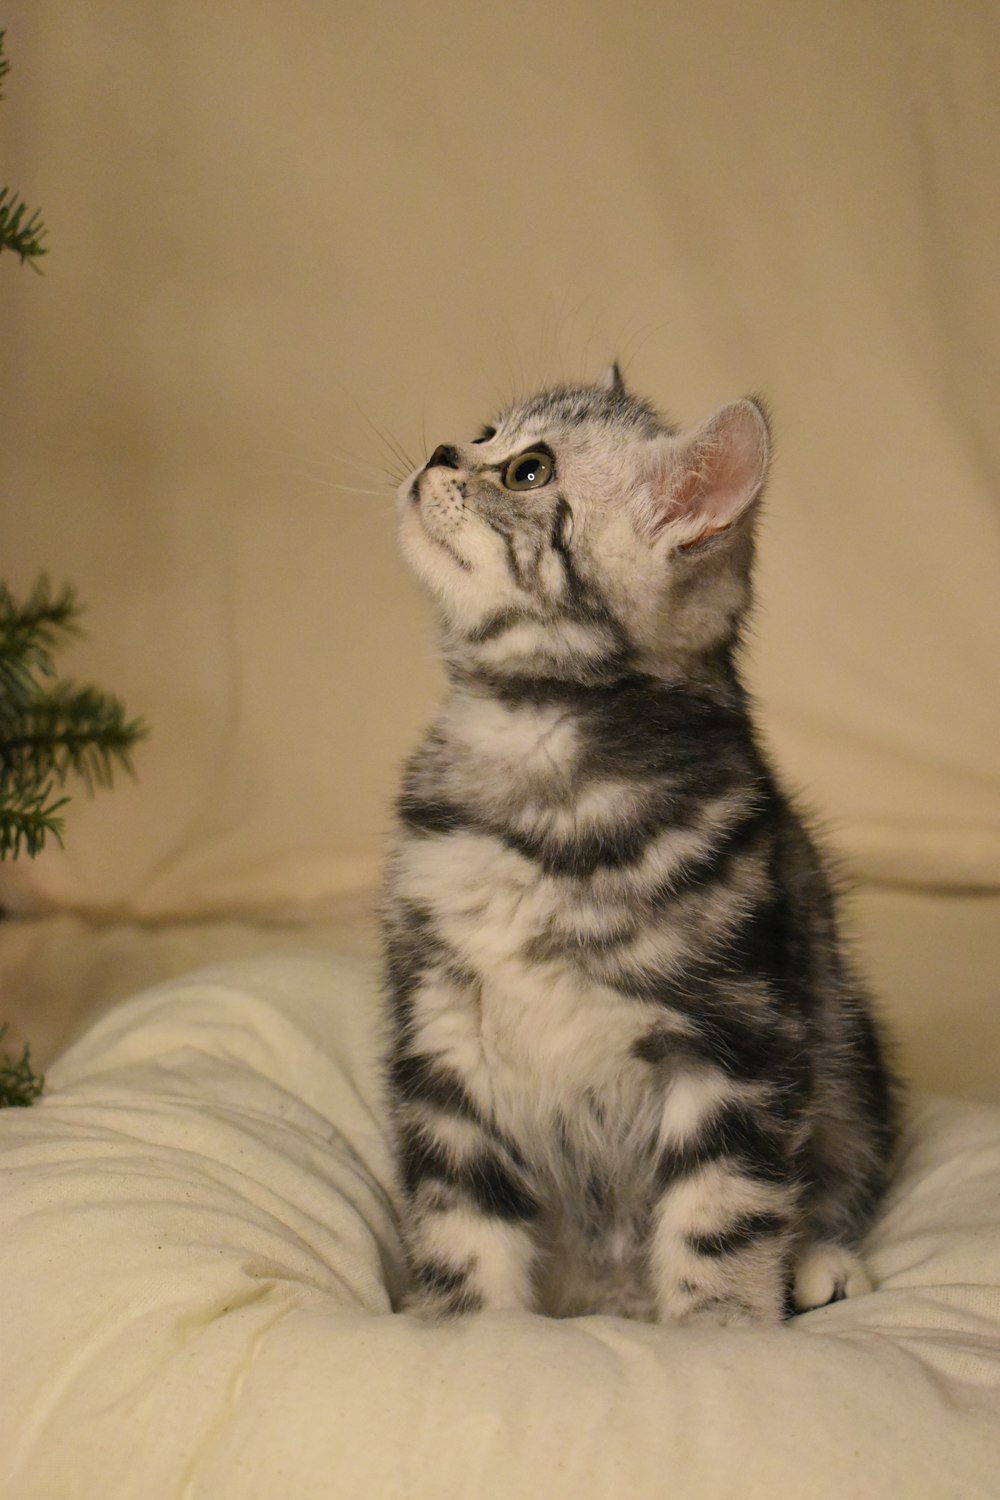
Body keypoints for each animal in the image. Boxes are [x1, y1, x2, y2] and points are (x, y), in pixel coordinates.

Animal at [383, 363, 899, 1326]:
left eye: (530, 472)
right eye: (486, 431)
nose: (439, 452)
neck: (535, 745)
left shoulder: (738, 1038)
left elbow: (722, 1211)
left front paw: (722, 1327)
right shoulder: (442, 1034)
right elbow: (459, 1219)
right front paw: (463, 1331)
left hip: (844, 1042)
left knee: (843, 1162)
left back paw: (822, 1260)